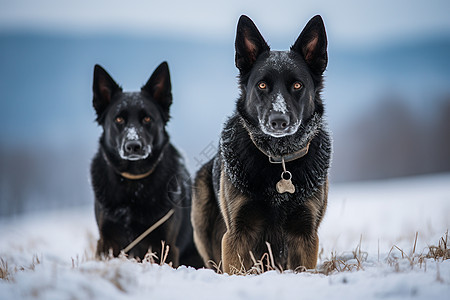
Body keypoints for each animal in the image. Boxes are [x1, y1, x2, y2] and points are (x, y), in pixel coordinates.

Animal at [91, 61, 202, 268]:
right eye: (119, 119)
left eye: (147, 118)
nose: (133, 146)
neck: (134, 184)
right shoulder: (108, 241)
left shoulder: (165, 244)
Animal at [192, 15, 332, 274]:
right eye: (262, 85)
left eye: (297, 85)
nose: (278, 121)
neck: (280, 157)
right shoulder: (236, 235)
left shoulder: (305, 235)